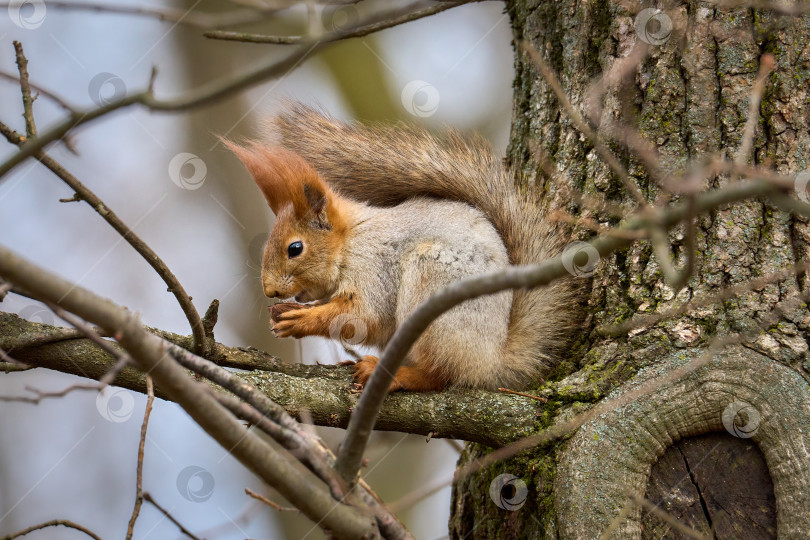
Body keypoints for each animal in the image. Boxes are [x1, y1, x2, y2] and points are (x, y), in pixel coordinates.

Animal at [226, 103, 580, 390]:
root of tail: (491, 361)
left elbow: (363, 316)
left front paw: (299, 319)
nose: (269, 290)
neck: (350, 242)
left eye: (295, 248)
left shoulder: (373, 267)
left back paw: (399, 375)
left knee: (441, 375)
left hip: (432, 286)